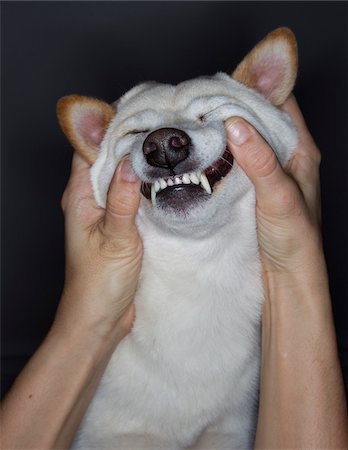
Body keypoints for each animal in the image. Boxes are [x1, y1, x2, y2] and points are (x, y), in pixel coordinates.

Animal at [58, 28, 298, 450]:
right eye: (136, 133)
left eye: (210, 113)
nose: (163, 143)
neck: (197, 268)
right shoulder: (114, 436)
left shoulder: (227, 432)